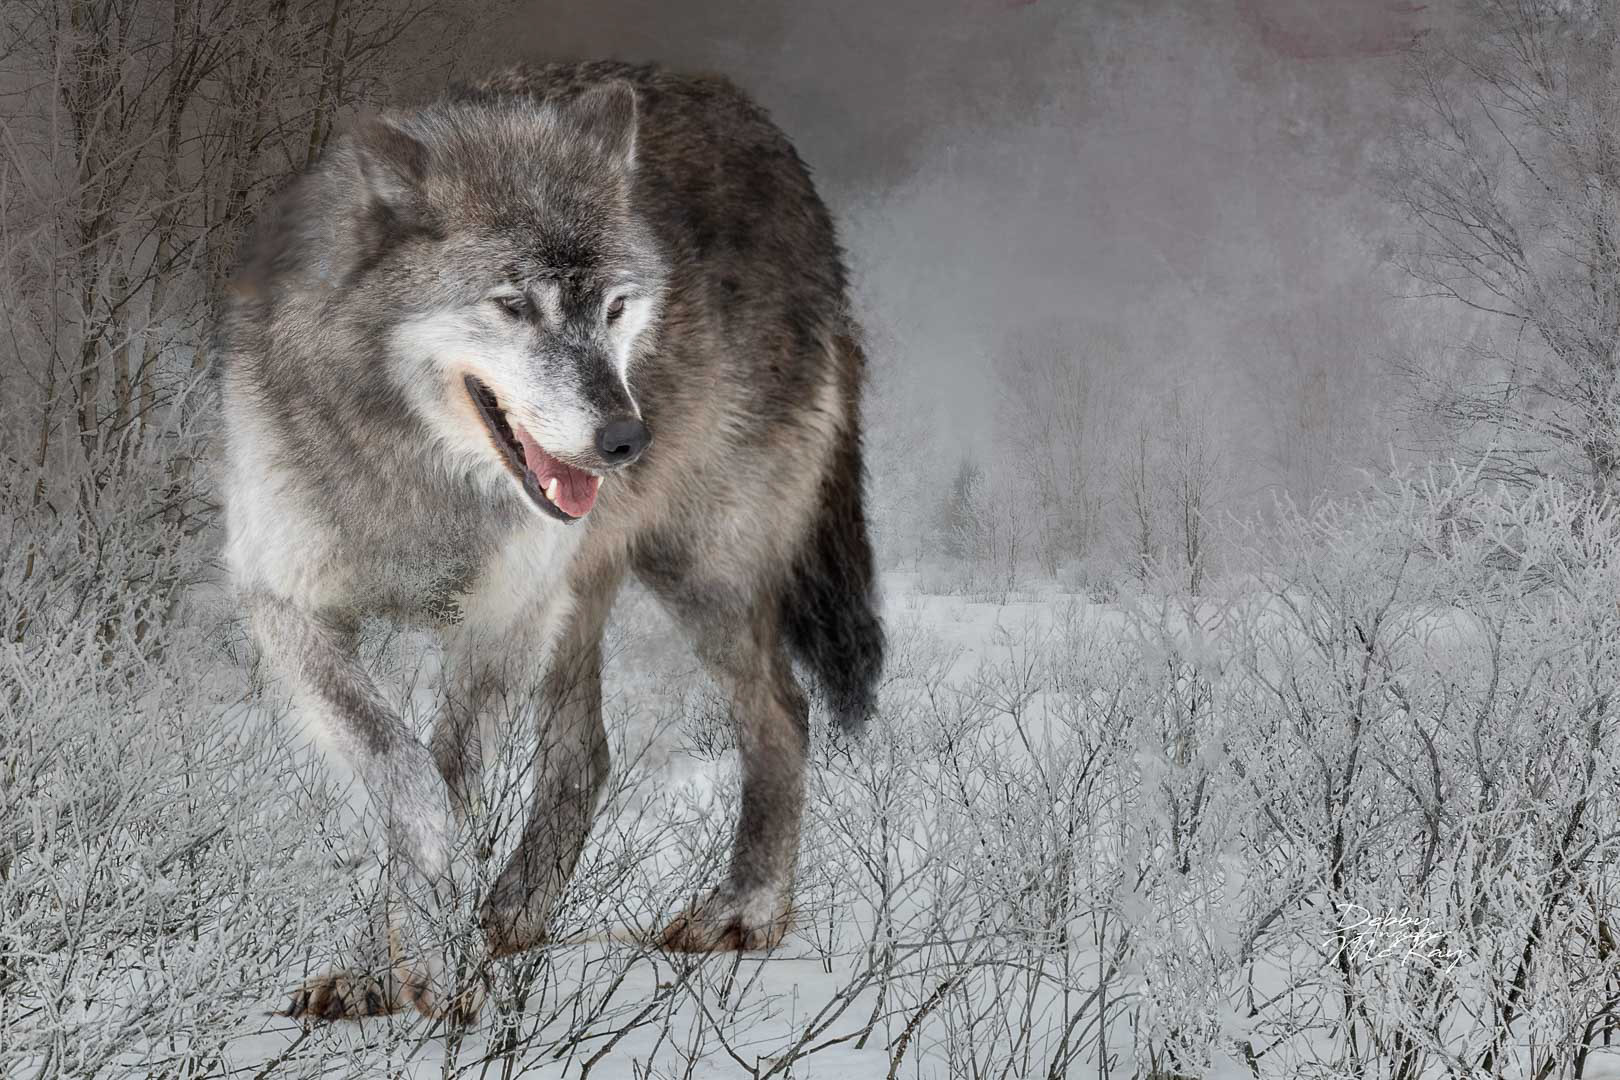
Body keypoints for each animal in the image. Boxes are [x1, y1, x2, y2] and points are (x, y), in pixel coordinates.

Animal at [216, 60, 884, 1021]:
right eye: (511, 307)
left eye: (614, 307)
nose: (625, 440)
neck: (426, 481)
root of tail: (765, 133)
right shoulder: (286, 604)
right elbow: (405, 772)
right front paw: (399, 960)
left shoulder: (501, 622)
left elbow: (448, 777)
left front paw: (425, 963)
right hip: (584, 597)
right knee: (586, 758)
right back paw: (515, 915)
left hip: (699, 573)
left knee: (781, 713)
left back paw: (745, 912)